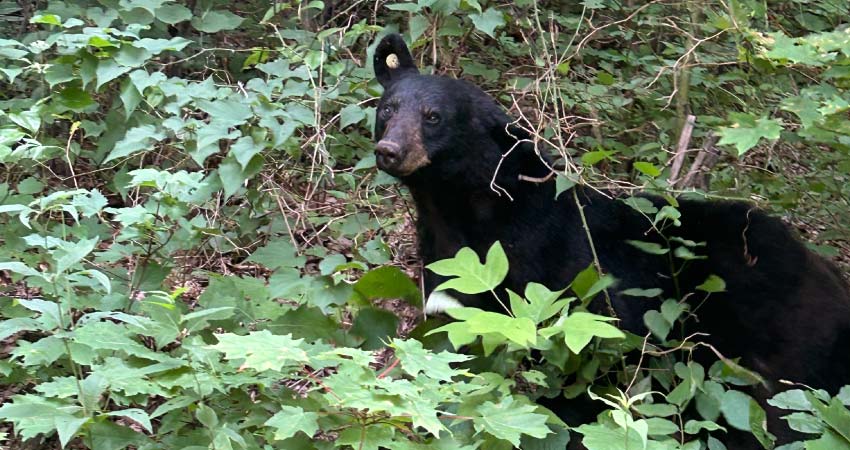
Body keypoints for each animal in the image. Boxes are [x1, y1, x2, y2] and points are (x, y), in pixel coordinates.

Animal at [371, 33, 850, 448]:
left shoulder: (559, 286)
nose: (389, 150)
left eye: (433, 116)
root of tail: (829, 275)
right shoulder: (452, 279)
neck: (463, 214)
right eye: (388, 109)